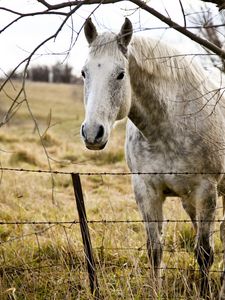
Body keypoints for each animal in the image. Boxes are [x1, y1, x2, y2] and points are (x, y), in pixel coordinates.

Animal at [80, 17, 225, 298]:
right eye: (84, 72)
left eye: (120, 74)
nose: (92, 133)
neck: (169, 124)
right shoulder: (146, 190)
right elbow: (154, 248)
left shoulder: (206, 190)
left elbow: (204, 253)